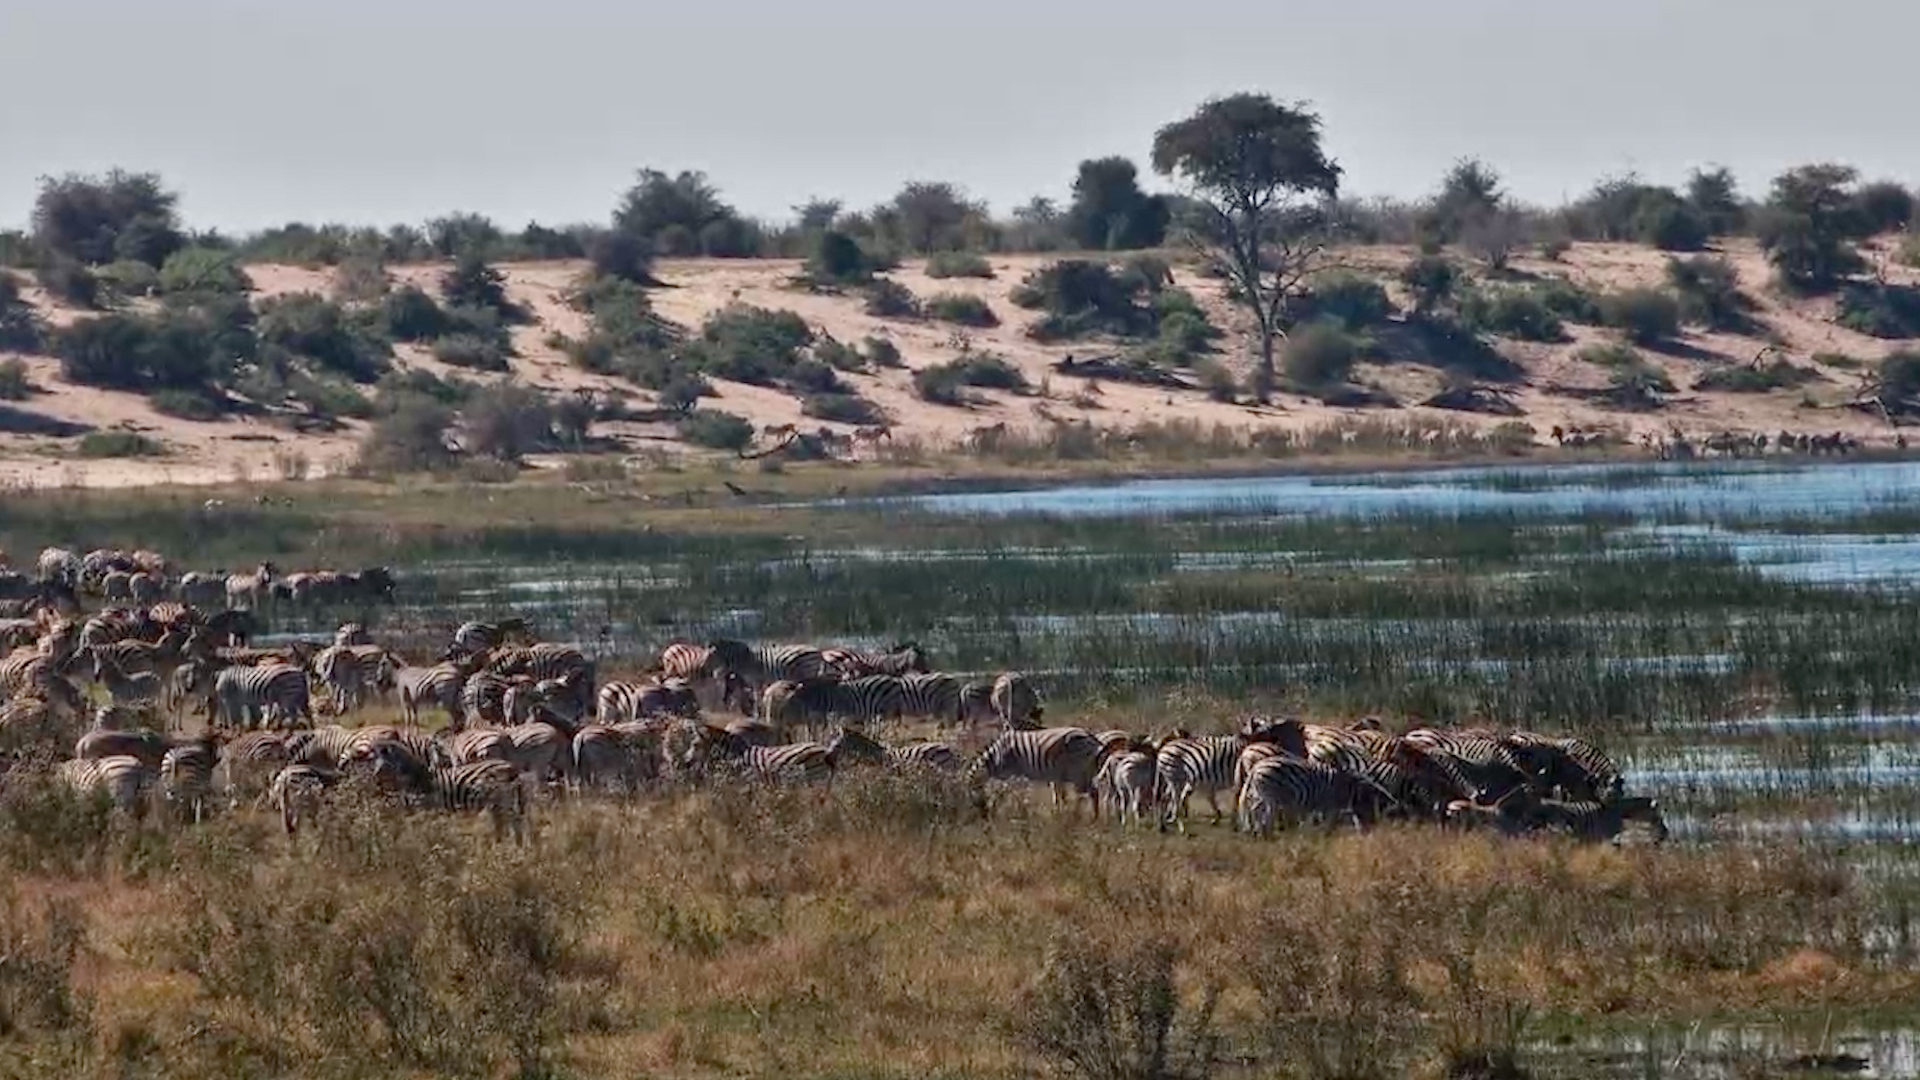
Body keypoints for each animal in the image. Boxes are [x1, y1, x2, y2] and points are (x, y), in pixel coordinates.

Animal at [969, 727, 1103, 815]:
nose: (984, 813)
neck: (996, 755)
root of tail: (1091, 736)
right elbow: (1058, 797)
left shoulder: (1014, 772)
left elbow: (1012, 791)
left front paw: (1018, 809)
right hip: (1085, 772)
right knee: (1093, 793)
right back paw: (1092, 818)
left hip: (1077, 773)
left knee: (1087, 794)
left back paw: (1079, 818)